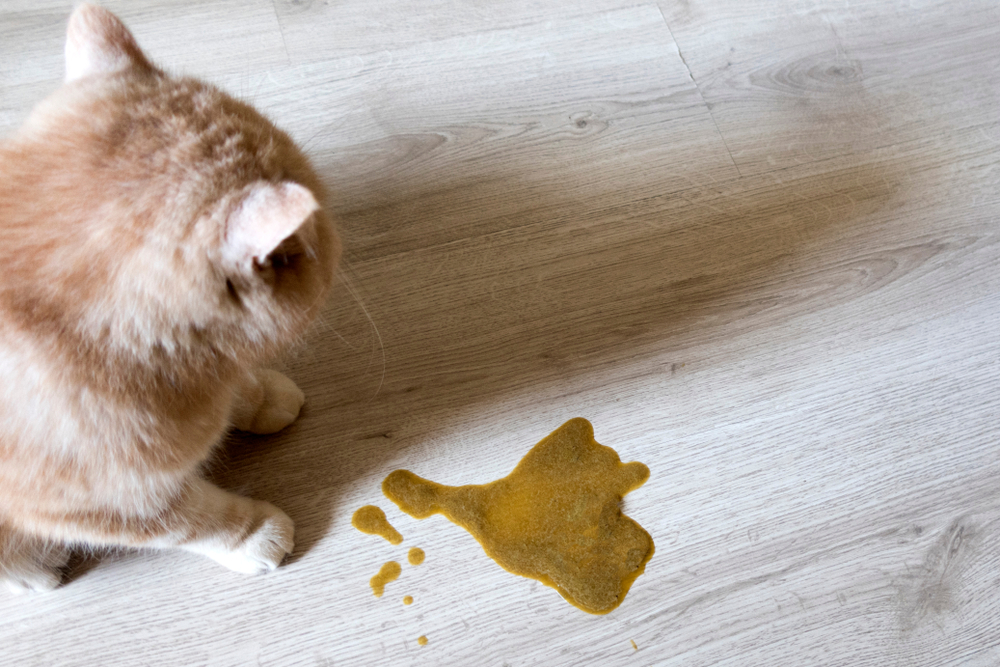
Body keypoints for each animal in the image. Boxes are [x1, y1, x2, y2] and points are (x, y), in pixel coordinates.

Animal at [0, 3, 340, 588]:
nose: (333, 229)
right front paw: (256, 537)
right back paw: (33, 570)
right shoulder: (100, 505)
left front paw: (257, 399)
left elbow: (234, 394)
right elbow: (194, 521)